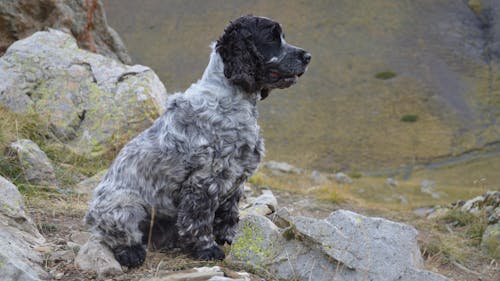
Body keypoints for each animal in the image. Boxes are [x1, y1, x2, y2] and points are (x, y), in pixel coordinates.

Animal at [84, 15, 310, 266]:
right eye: (271, 38)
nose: (307, 56)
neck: (231, 98)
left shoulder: (235, 180)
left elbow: (229, 215)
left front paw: (233, 239)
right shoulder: (205, 180)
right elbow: (199, 221)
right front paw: (207, 249)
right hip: (125, 205)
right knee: (115, 234)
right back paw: (131, 252)